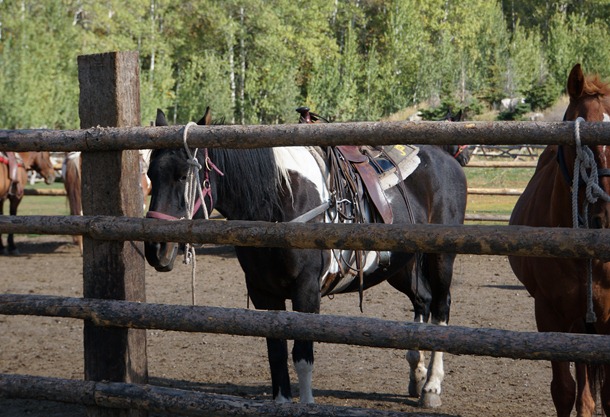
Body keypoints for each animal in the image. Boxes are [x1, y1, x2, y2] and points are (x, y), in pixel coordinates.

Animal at [144, 109, 466, 408]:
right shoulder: (263, 293)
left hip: (440, 258)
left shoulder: (306, 290)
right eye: (149, 175)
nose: (156, 249)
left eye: (183, 176)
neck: (280, 202)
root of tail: (445, 158)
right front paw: (282, 401)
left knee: (441, 307)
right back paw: (416, 375)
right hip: (402, 265)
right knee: (422, 300)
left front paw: (306, 402)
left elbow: (302, 354)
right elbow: (275, 353)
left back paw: (431, 387)